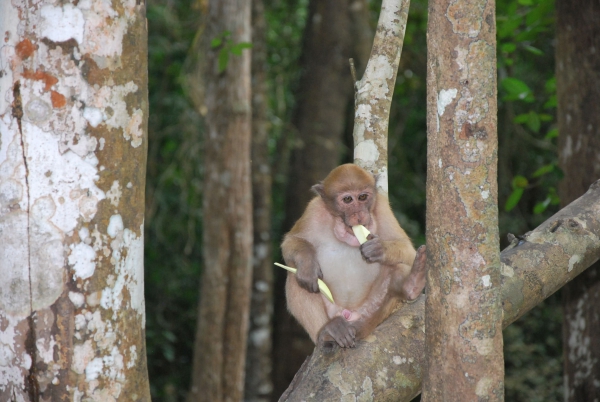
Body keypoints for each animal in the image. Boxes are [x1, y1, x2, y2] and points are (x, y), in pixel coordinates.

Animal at [282, 163, 426, 348]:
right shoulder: (314, 210)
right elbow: (291, 242)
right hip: (332, 311)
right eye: (348, 200)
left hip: (371, 309)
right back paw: (328, 330)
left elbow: (408, 251)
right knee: (296, 276)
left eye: (363, 197)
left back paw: (412, 283)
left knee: (396, 266)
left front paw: (379, 249)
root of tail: (350, 315)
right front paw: (308, 264)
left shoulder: (382, 207)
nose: (358, 214)